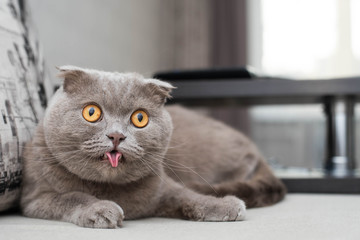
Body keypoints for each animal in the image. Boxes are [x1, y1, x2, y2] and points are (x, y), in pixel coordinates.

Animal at [19, 65, 286, 229]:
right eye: (91, 112)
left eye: (140, 118)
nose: (116, 135)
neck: (109, 188)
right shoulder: (36, 198)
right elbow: (72, 197)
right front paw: (101, 209)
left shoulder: (161, 187)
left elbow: (185, 195)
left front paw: (223, 205)